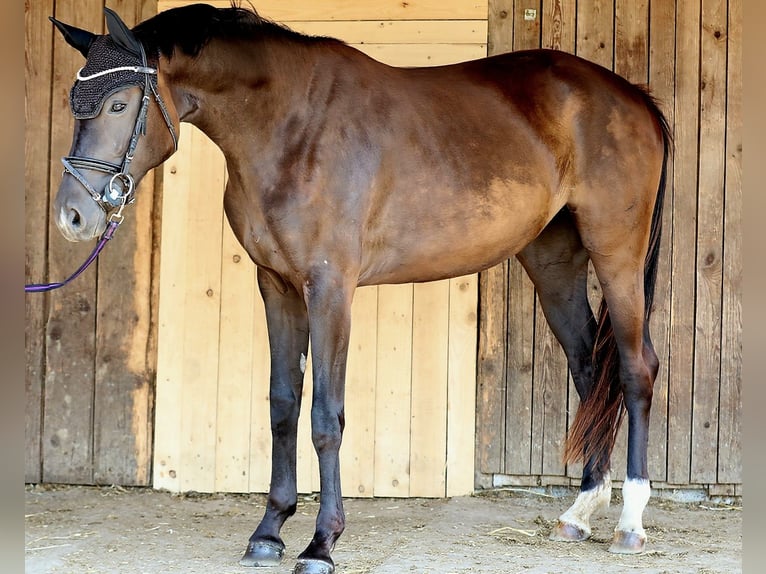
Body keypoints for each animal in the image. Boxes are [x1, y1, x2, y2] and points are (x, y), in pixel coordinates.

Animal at [49, 4, 670, 573]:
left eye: (119, 104)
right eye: (75, 102)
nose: (73, 217)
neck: (292, 126)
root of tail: (633, 97)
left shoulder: (329, 288)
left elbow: (326, 417)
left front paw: (321, 543)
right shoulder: (277, 286)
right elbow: (283, 405)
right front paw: (268, 532)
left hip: (616, 253)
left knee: (635, 368)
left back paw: (630, 522)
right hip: (554, 262)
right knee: (589, 368)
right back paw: (580, 512)